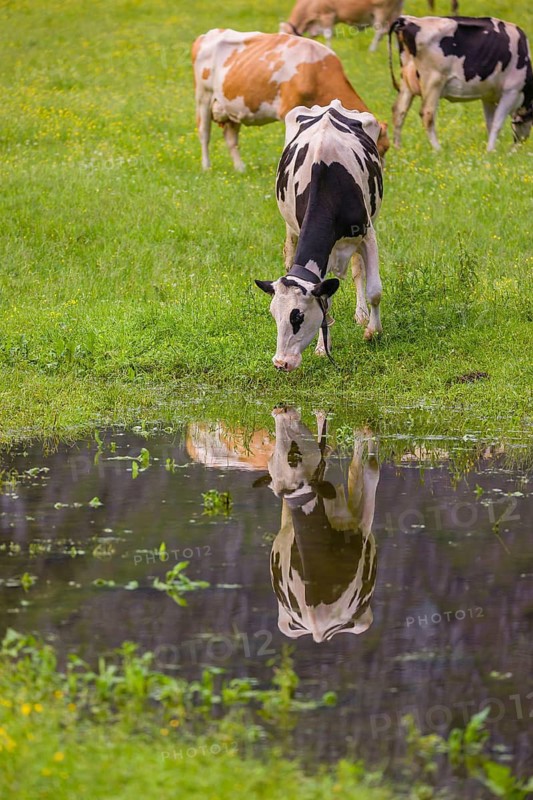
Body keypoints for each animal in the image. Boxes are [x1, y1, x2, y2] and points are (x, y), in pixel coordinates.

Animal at [191, 29, 389, 171]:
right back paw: (206, 167)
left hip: (231, 107)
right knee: (204, 133)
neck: (316, 71)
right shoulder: (289, 110)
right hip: (203, 96)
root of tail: (207, 35)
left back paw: (240, 169)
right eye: (382, 148)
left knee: (231, 139)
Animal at [253, 407, 379, 642]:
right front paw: (365, 430)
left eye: (294, 456)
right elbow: (370, 469)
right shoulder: (362, 525)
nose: (281, 409)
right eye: (275, 456)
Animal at [255, 99, 383, 372]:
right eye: (274, 316)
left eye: (298, 316)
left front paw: (373, 331)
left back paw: (361, 315)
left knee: (358, 270)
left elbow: (374, 290)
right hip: (291, 227)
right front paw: (323, 348)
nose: (281, 362)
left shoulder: (368, 235)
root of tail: (332, 105)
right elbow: (326, 300)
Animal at [389, 15, 533, 151]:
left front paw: (491, 149)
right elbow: (497, 123)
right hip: (433, 80)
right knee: (427, 114)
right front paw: (491, 150)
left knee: (399, 111)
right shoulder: (511, 91)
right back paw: (438, 149)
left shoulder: (488, 96)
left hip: (406, 82)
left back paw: (397, 148)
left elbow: (490, 123)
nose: (520, 143)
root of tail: (406, 20)